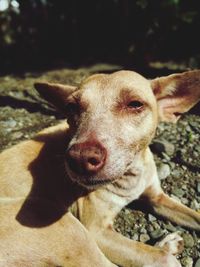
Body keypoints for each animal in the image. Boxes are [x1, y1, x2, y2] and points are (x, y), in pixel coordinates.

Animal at [0, 70, 200, 266]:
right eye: (71, 107)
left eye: (135, 104)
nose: (80, 159)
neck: (130, 176)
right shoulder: (97, 231)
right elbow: (159, 258)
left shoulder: (157, 197)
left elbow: (195, 215)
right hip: (58, 219)